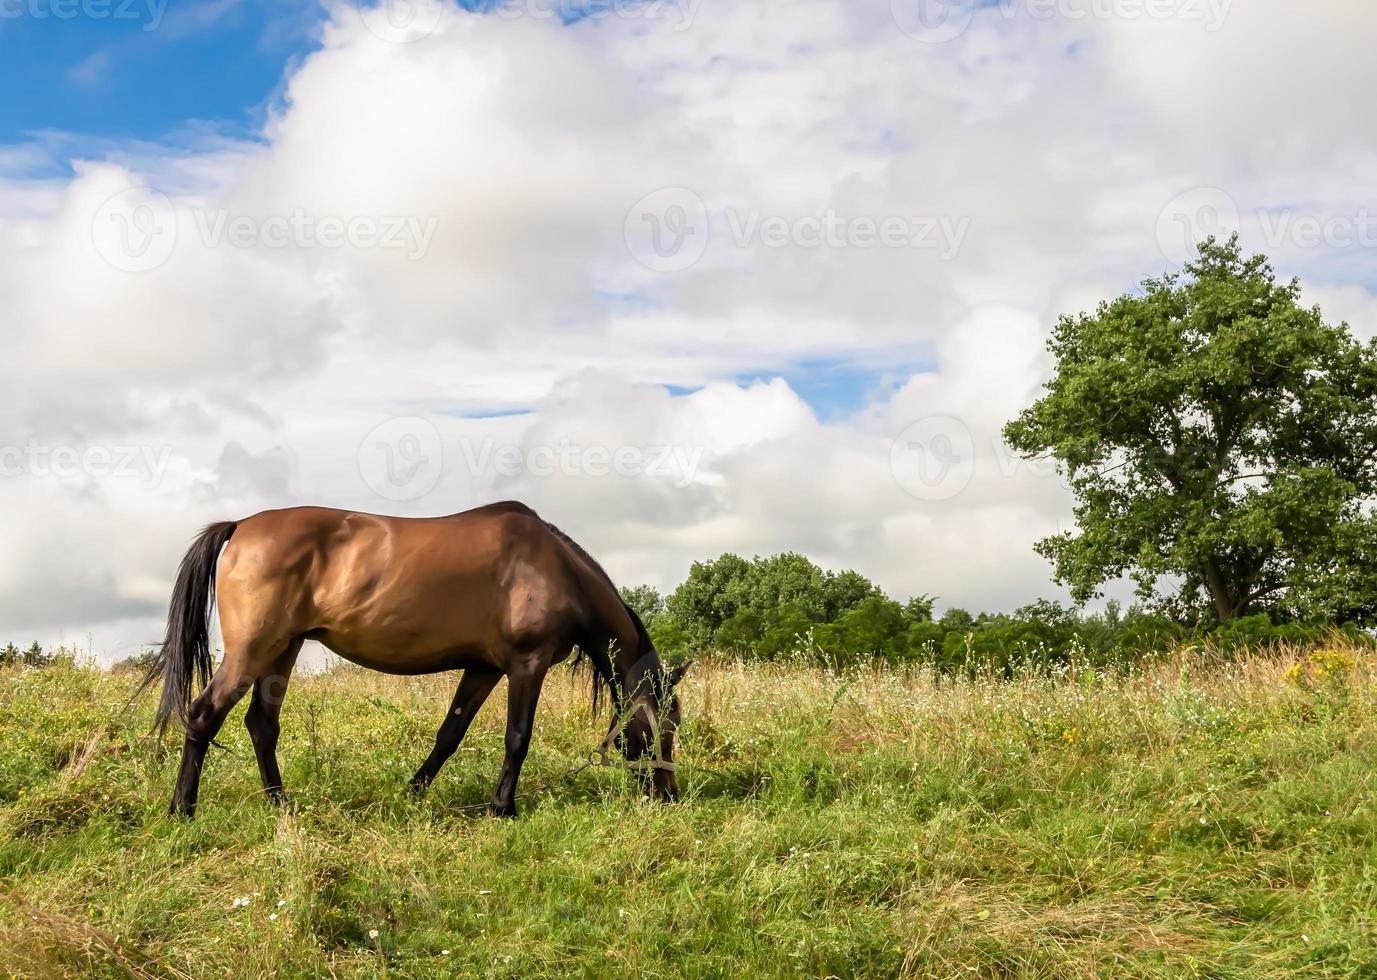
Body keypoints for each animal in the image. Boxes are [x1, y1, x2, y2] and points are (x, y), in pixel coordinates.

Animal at [142, 501, 685, 814]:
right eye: (667, 723)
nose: (670, 795)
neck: (557, 568)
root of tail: (240, 527)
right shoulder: (526, 665)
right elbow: (518, 737)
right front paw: (501, 807)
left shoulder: (484, 667)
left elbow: (450, 732)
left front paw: (414, 792)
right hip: (253, 651)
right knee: (203, 715)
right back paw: (182, 809)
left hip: (283, 650)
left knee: (261, 723)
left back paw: (280, 805)